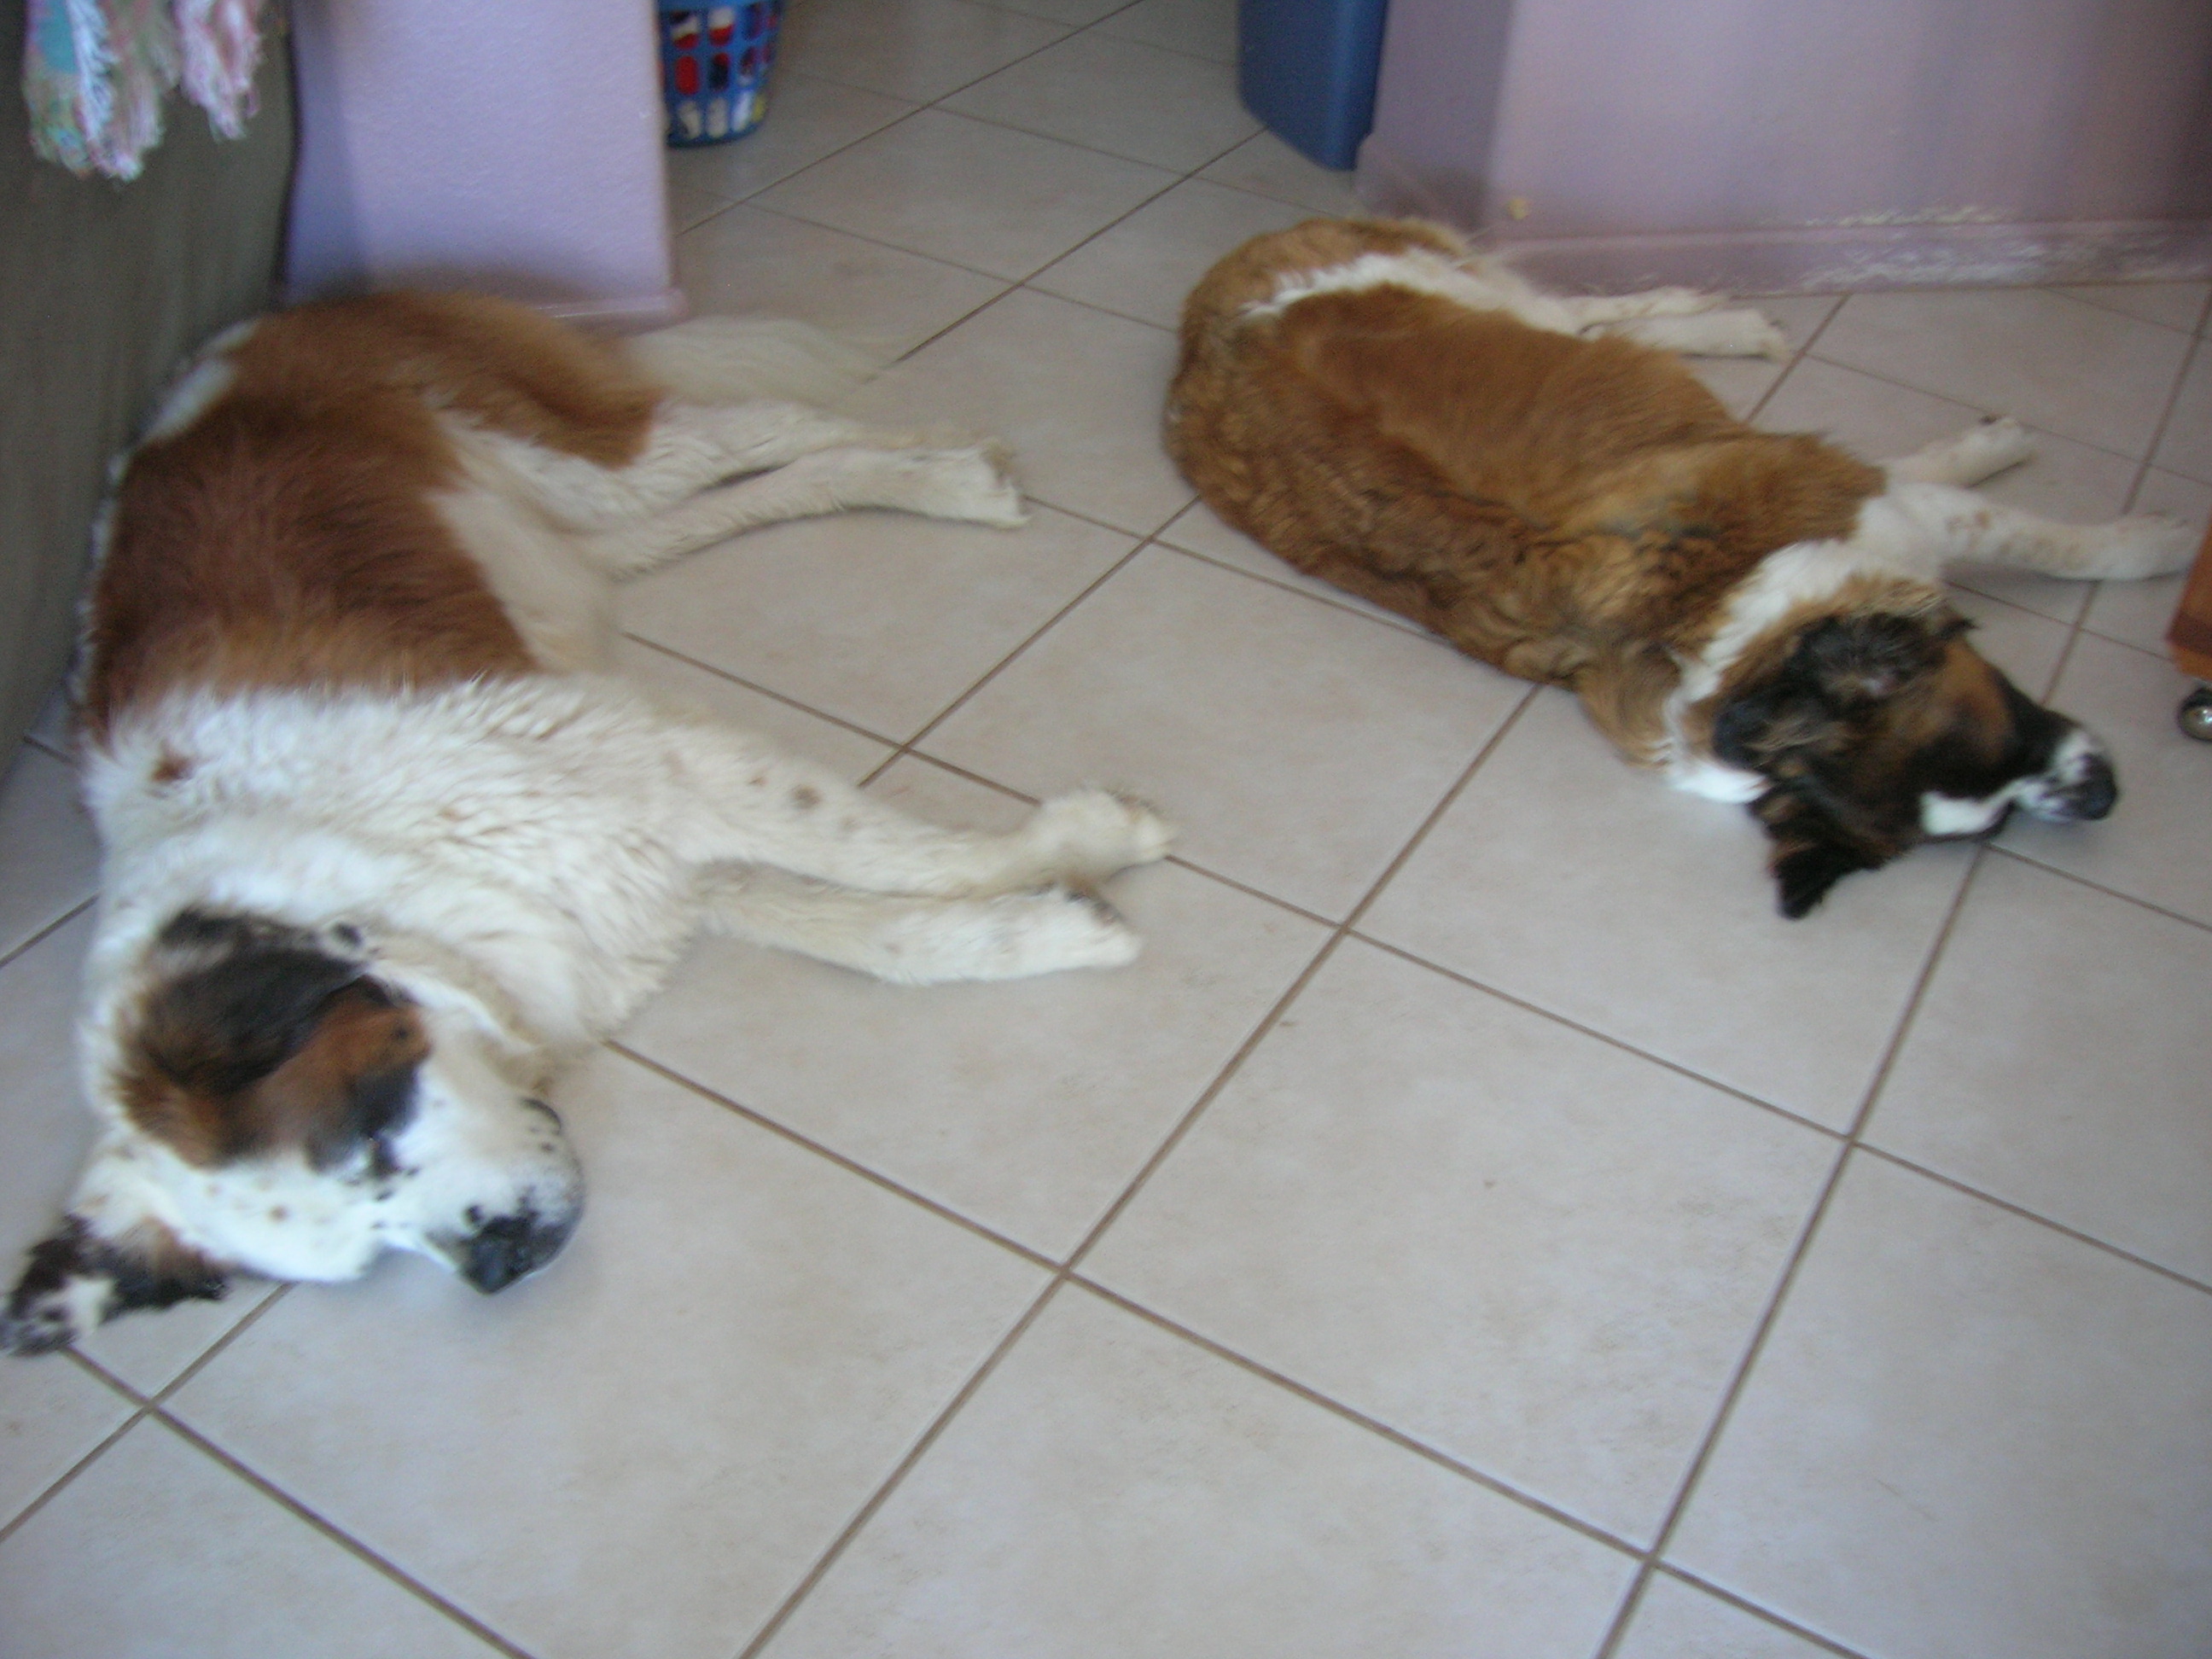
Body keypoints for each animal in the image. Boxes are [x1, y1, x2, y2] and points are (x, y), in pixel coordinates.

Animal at [2, 292, 1173, 1355]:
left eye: (372, 1127)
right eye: (369, 1249)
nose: (498, 1260)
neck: (370, 874)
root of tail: (254, 325)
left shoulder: (658, 769)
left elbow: (899, 855)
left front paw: (1086, 846)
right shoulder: (628, 867)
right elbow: (878, 932)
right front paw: (1048, 922)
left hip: (584, 461)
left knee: (767, 427)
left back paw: (936, 462)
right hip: (573, 541)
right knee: (736, 495)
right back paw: (934, 471)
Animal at [1166, 219, 2193, 917]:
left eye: (2013, 735)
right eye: (2002, 795)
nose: (2103, 798)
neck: (1750, 678)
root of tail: (1204, 327)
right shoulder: (1889, 511)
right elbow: (2041, 535)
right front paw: (2161, 541)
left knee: (1594, 322)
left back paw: (1720, 321)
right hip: (1471, 290)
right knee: (1584, 319)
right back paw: (1724, 320)